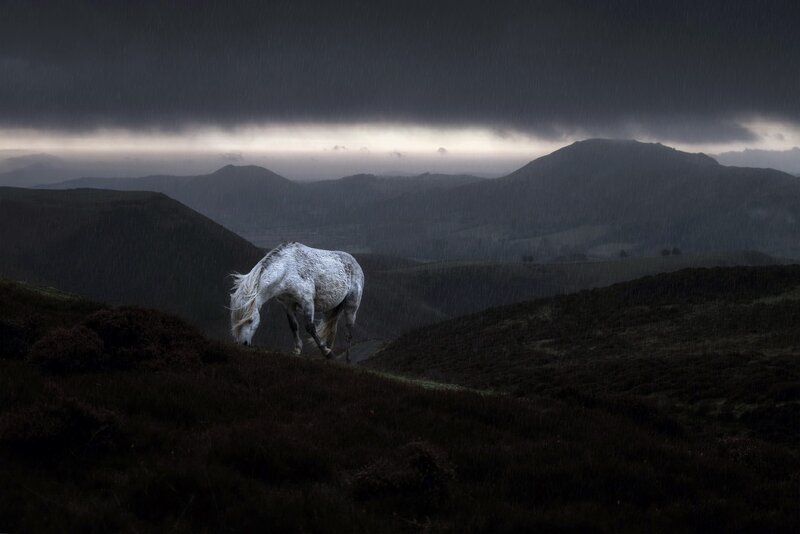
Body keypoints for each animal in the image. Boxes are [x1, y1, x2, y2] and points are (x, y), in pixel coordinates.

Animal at [229, 242, 364, 362]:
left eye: (250, 320)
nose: (243, 343)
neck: (286, 269)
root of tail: (355, 262)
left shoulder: (307, 301)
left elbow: (310, 327)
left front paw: (327, 352)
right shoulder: (288, 304)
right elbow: (293, 326)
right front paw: (297, 350)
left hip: (351, 305)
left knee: (348, 331)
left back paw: (346, 358)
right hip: (332, 308)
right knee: (332, 329)